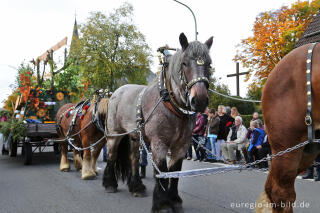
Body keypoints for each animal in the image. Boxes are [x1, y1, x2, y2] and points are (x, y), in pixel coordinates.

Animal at [102, 32, 212, 212]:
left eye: (209, 64)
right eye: (184, 63)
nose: (200, 100)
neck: (170, 105)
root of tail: (115, 93)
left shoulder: (182, 146)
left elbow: (174, 171)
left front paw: (174, 200)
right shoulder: (159, 143)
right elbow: (162, 171)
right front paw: (162, 204)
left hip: (135, 137)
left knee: (134, 158)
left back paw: (137, 187)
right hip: (114, 134)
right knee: (112, 155)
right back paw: (109, 183)